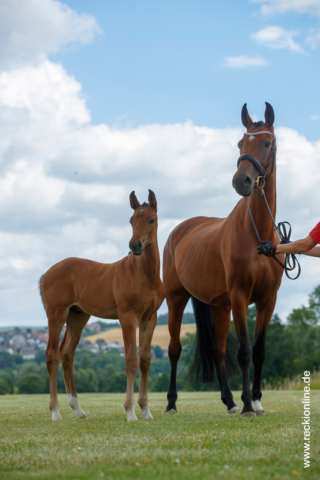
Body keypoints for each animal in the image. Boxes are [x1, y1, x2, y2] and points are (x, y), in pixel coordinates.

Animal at [40, 189, 165, 422]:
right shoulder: (128, 317)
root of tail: (46, 273)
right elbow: (131, 361)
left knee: (66, 353)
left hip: (77, 316)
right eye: (131, 220)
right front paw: (130, 412)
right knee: (52, 354)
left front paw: (146, 410)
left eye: (151, 219)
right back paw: (55, 412)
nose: (135, 245)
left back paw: (78, 409)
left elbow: (145, 360)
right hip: (56, 314)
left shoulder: (149, 318)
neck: (145, 275)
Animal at [164, 104, 284, 416]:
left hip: (219, 306)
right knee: (174, 350)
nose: (241, 181)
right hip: (176, 299)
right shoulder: (240, 295)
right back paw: (171, 403)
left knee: (217, 350)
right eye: (241, 143)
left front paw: (255, 400)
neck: (258, 234)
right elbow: (244, 352)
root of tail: (180, 231)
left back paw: (230, 401)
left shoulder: (268, 299)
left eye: (266, 144)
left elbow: (260, 351)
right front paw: (248, 406)